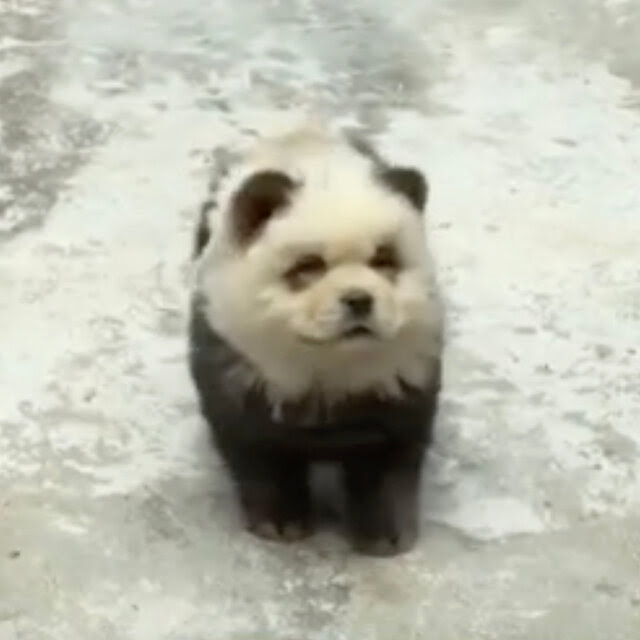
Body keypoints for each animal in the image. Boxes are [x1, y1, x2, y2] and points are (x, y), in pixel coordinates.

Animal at [188, 125, 442, 556]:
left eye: (384, 260)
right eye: (308, 266)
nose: (359, 299)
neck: (329, 365)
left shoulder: (403, 374)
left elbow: (389, 454)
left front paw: (386, 535)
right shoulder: (236, 361)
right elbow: (258, 447)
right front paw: (280, 524)